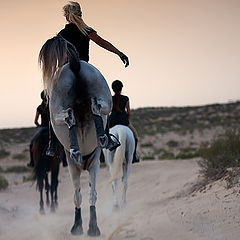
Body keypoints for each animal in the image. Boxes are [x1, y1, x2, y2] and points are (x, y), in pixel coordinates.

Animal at [38, 36, 112, 236]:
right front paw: (91, 226)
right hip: (103, 94)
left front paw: (79, 225)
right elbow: (89, 194)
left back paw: (77, 147)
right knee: (97, 106)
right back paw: (100, 137)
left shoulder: (77, 166)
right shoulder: (93, 163)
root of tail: (74, 63)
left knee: (68, 115)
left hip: (56, 106)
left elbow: (79, 195)